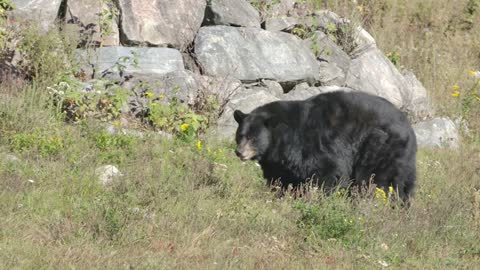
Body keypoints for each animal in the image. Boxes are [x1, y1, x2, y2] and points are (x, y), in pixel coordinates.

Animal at [232, 90, 416, 202]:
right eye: (240, 135)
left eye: (252, 138)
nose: (239, 152)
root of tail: (409, 129)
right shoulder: (278, 162)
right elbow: (282, 179)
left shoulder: (316, 146)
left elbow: (327, 172)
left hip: (380, 147)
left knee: (374, 181)